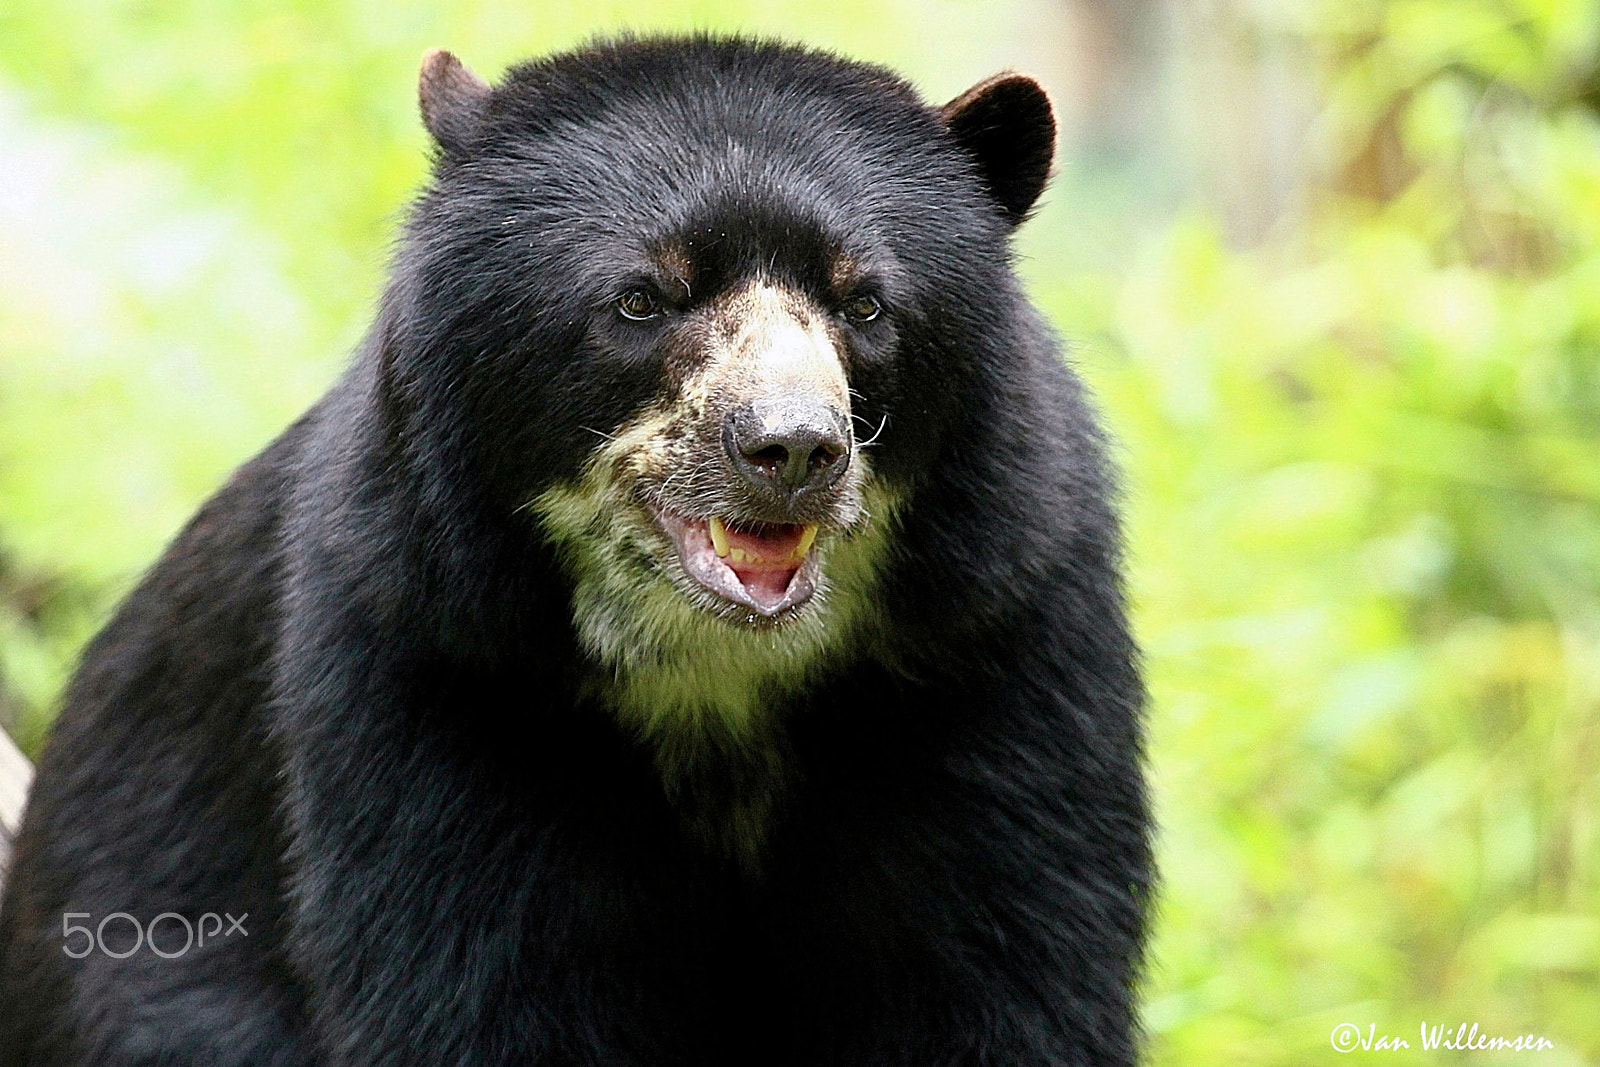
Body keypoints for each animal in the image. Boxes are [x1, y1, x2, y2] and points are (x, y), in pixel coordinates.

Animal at [0, 33, 1152, 1067]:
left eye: (864, 302)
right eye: (641, 298)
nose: (791, 447)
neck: (715, 672)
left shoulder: (996, 639)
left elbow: (1002, 961)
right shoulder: (435, 663)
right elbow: (478, 981)